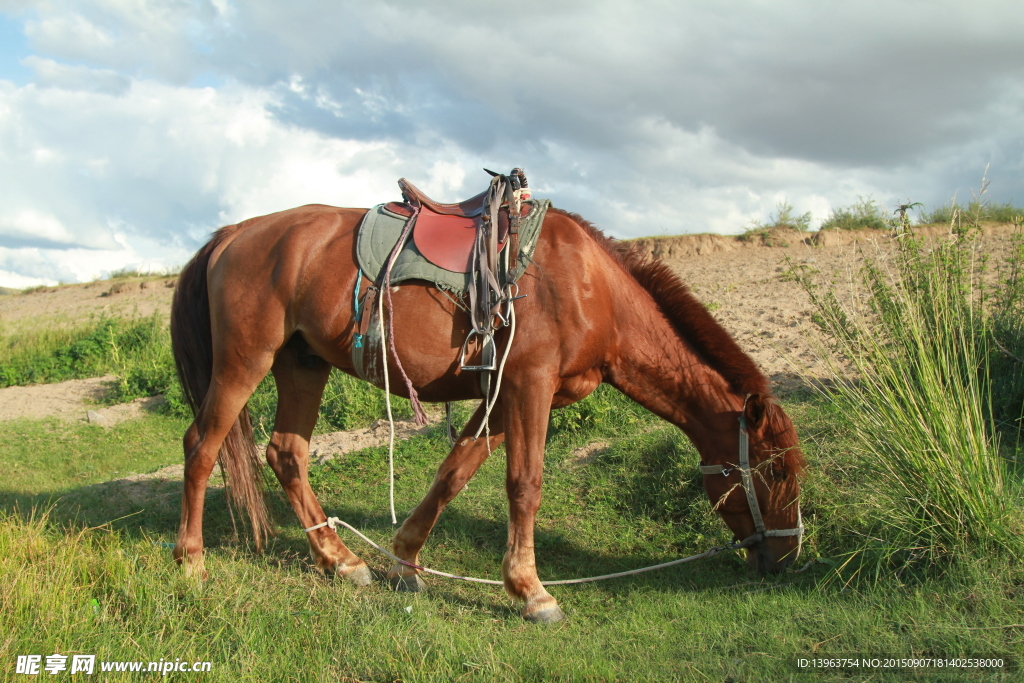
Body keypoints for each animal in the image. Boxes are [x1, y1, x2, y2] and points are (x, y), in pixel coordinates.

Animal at [169, 201, 806, 618]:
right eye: (775, 470)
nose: (789, 555)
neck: (592, 288)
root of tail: (236, 233)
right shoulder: (530, 387)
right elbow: (524, 485)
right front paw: (531, 591)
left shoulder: (507, 397)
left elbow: (456, 471)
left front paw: (406, 562)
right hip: (246, 361)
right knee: (201, 446)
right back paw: (191, 562)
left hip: (302, 365)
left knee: (287, 454)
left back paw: (340, 560)